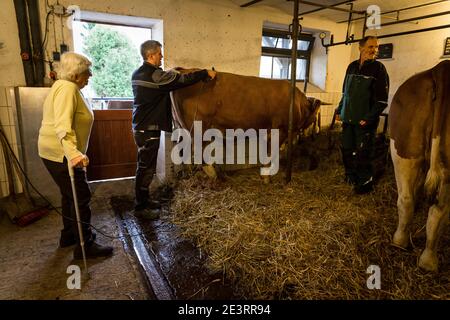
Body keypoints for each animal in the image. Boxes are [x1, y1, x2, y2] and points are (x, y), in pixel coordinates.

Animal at [171, 69, 322, 179]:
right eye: (314, 117)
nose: (315, 133)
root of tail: (182, 70)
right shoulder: (280, 130)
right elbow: (272, 152)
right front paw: (267, 174)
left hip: (181, 127)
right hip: (197, 127)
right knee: (195, 149)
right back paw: (211, 173)